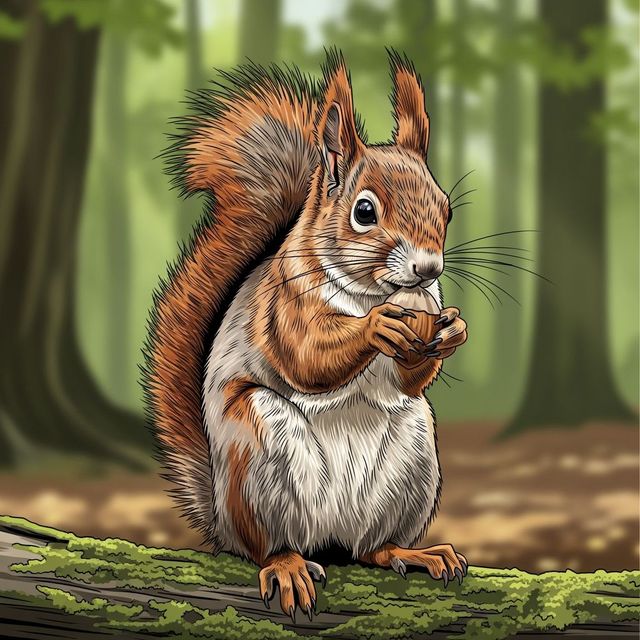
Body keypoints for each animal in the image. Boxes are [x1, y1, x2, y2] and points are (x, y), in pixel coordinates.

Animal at [143, 50, 468, 621]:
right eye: (364, 211)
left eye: (445, 207)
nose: (428, 269)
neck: (372, 293)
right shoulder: (282, 310)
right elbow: (307, 357)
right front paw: (378, 327)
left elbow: (410, 379)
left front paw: (453, 329)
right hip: (258, 457)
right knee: (266, 546)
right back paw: (287, 565)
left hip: (412, 461)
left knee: (370, 548)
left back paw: (409, 552)